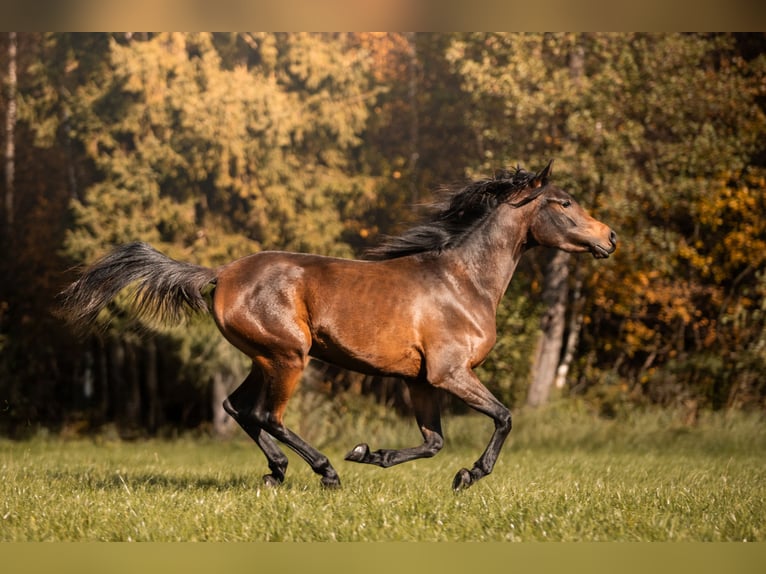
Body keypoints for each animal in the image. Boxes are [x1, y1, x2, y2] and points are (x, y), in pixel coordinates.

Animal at [60, 160, 616, 491]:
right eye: (563, 203)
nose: (610, 237)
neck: (464, 281)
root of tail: (220, 273)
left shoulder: (420, 381)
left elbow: (433, 442)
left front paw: (371, 453)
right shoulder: (450, 373)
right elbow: (503, 417)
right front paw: (468, 475)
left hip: (265, 357)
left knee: (238, 408)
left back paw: (278, 472)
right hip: (289, 356)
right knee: (267, 415)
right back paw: (324, 471)